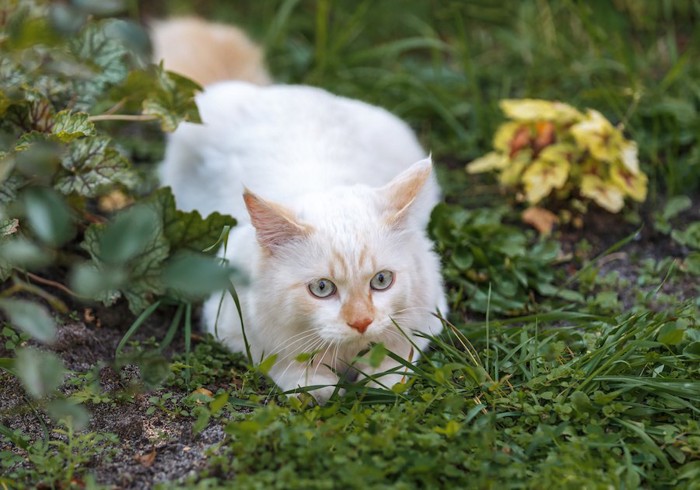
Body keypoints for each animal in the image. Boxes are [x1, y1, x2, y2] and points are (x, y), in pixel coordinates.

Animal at [154, 17, 448, 404]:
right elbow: (292, 368)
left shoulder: (431, 310)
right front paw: (320, 384)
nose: (361, 322)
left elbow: (397, 356)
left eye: (382, 281)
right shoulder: (231, 322)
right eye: (322, 288)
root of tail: (271, 91)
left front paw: (378, 379)